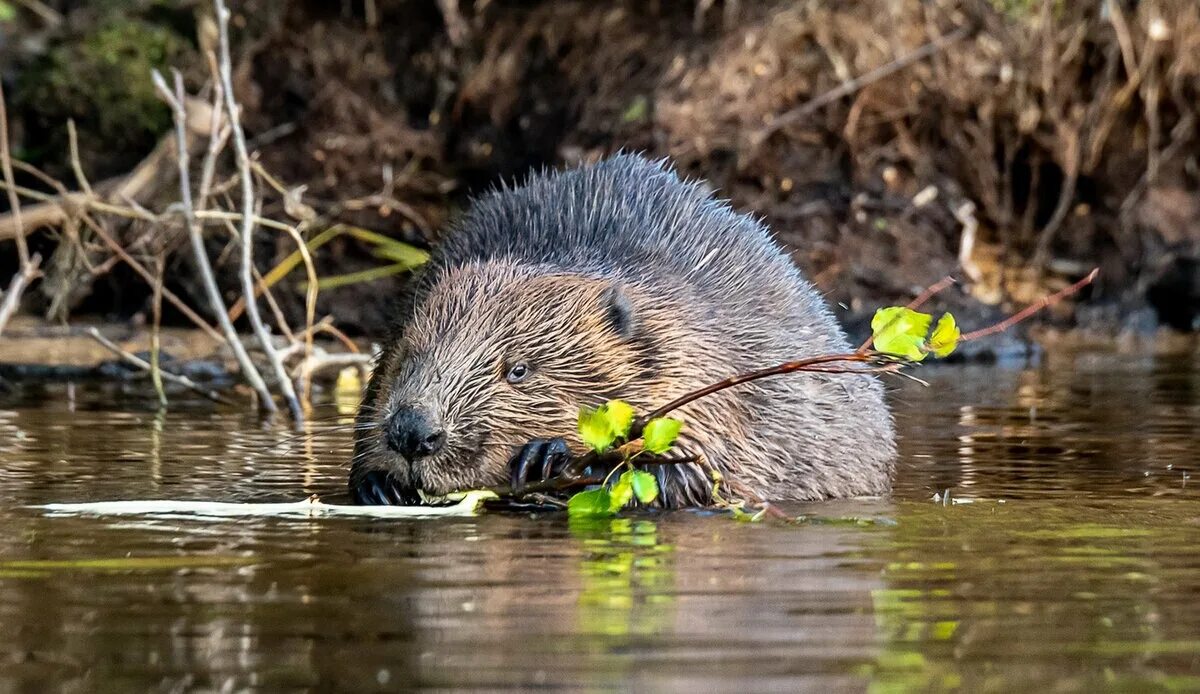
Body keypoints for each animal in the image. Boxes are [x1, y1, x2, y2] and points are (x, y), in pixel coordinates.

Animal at [348, 153, 892, 504]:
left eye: (518, 370)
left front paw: (547, 457)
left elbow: (692, 470)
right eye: (410, 356)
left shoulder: (712, 373)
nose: (412, 432)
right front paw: (379, 484)